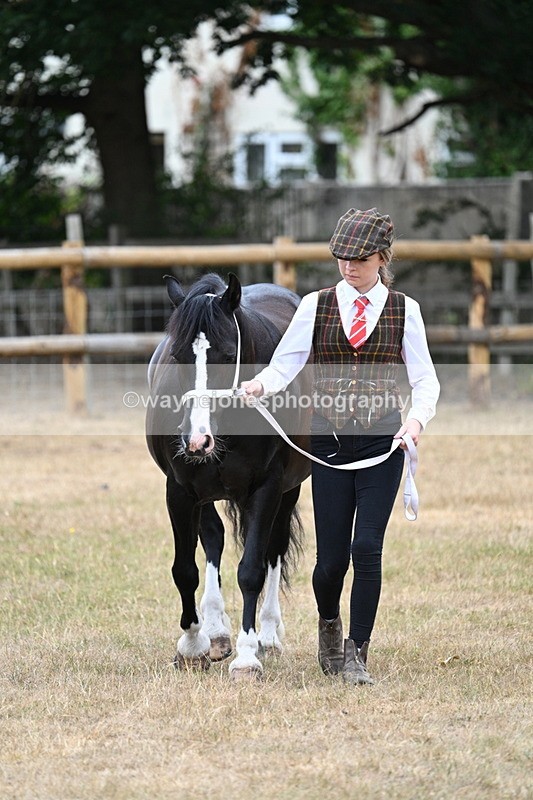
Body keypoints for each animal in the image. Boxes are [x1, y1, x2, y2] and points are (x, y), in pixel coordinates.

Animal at [146, 272, 311, 680]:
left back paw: (267, 636)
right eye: (178, 356)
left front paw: (248, 656)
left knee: (274, 551)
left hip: (288, 491)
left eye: (225, 354)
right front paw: (192, 647)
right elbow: (185, 569)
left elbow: (252, 570)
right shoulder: (180, 491)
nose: (196, 439)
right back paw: (216, 632)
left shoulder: (267, 489)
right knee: (214, 540)